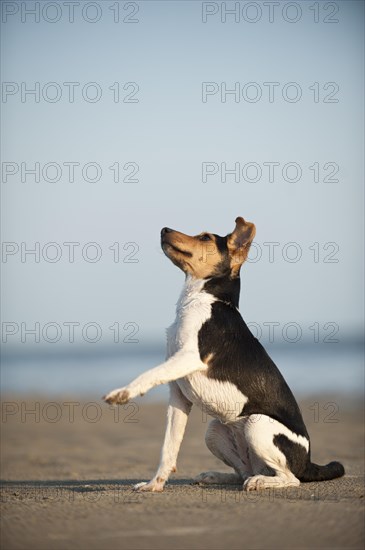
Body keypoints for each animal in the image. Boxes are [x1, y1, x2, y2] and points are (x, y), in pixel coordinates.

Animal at [103, 218, 344, 494]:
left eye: (206, 237)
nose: (164, 229)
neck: (201, 299)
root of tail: (309, 463)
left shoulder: (190, 357)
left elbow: (149, 374)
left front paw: (122, 394)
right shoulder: (178, 394)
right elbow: (168, 448)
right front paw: (155, 484)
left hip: (257, 424)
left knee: (289, 477)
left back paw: (260, 482)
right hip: (214, 431)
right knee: (243, 472)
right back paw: (215, 475)